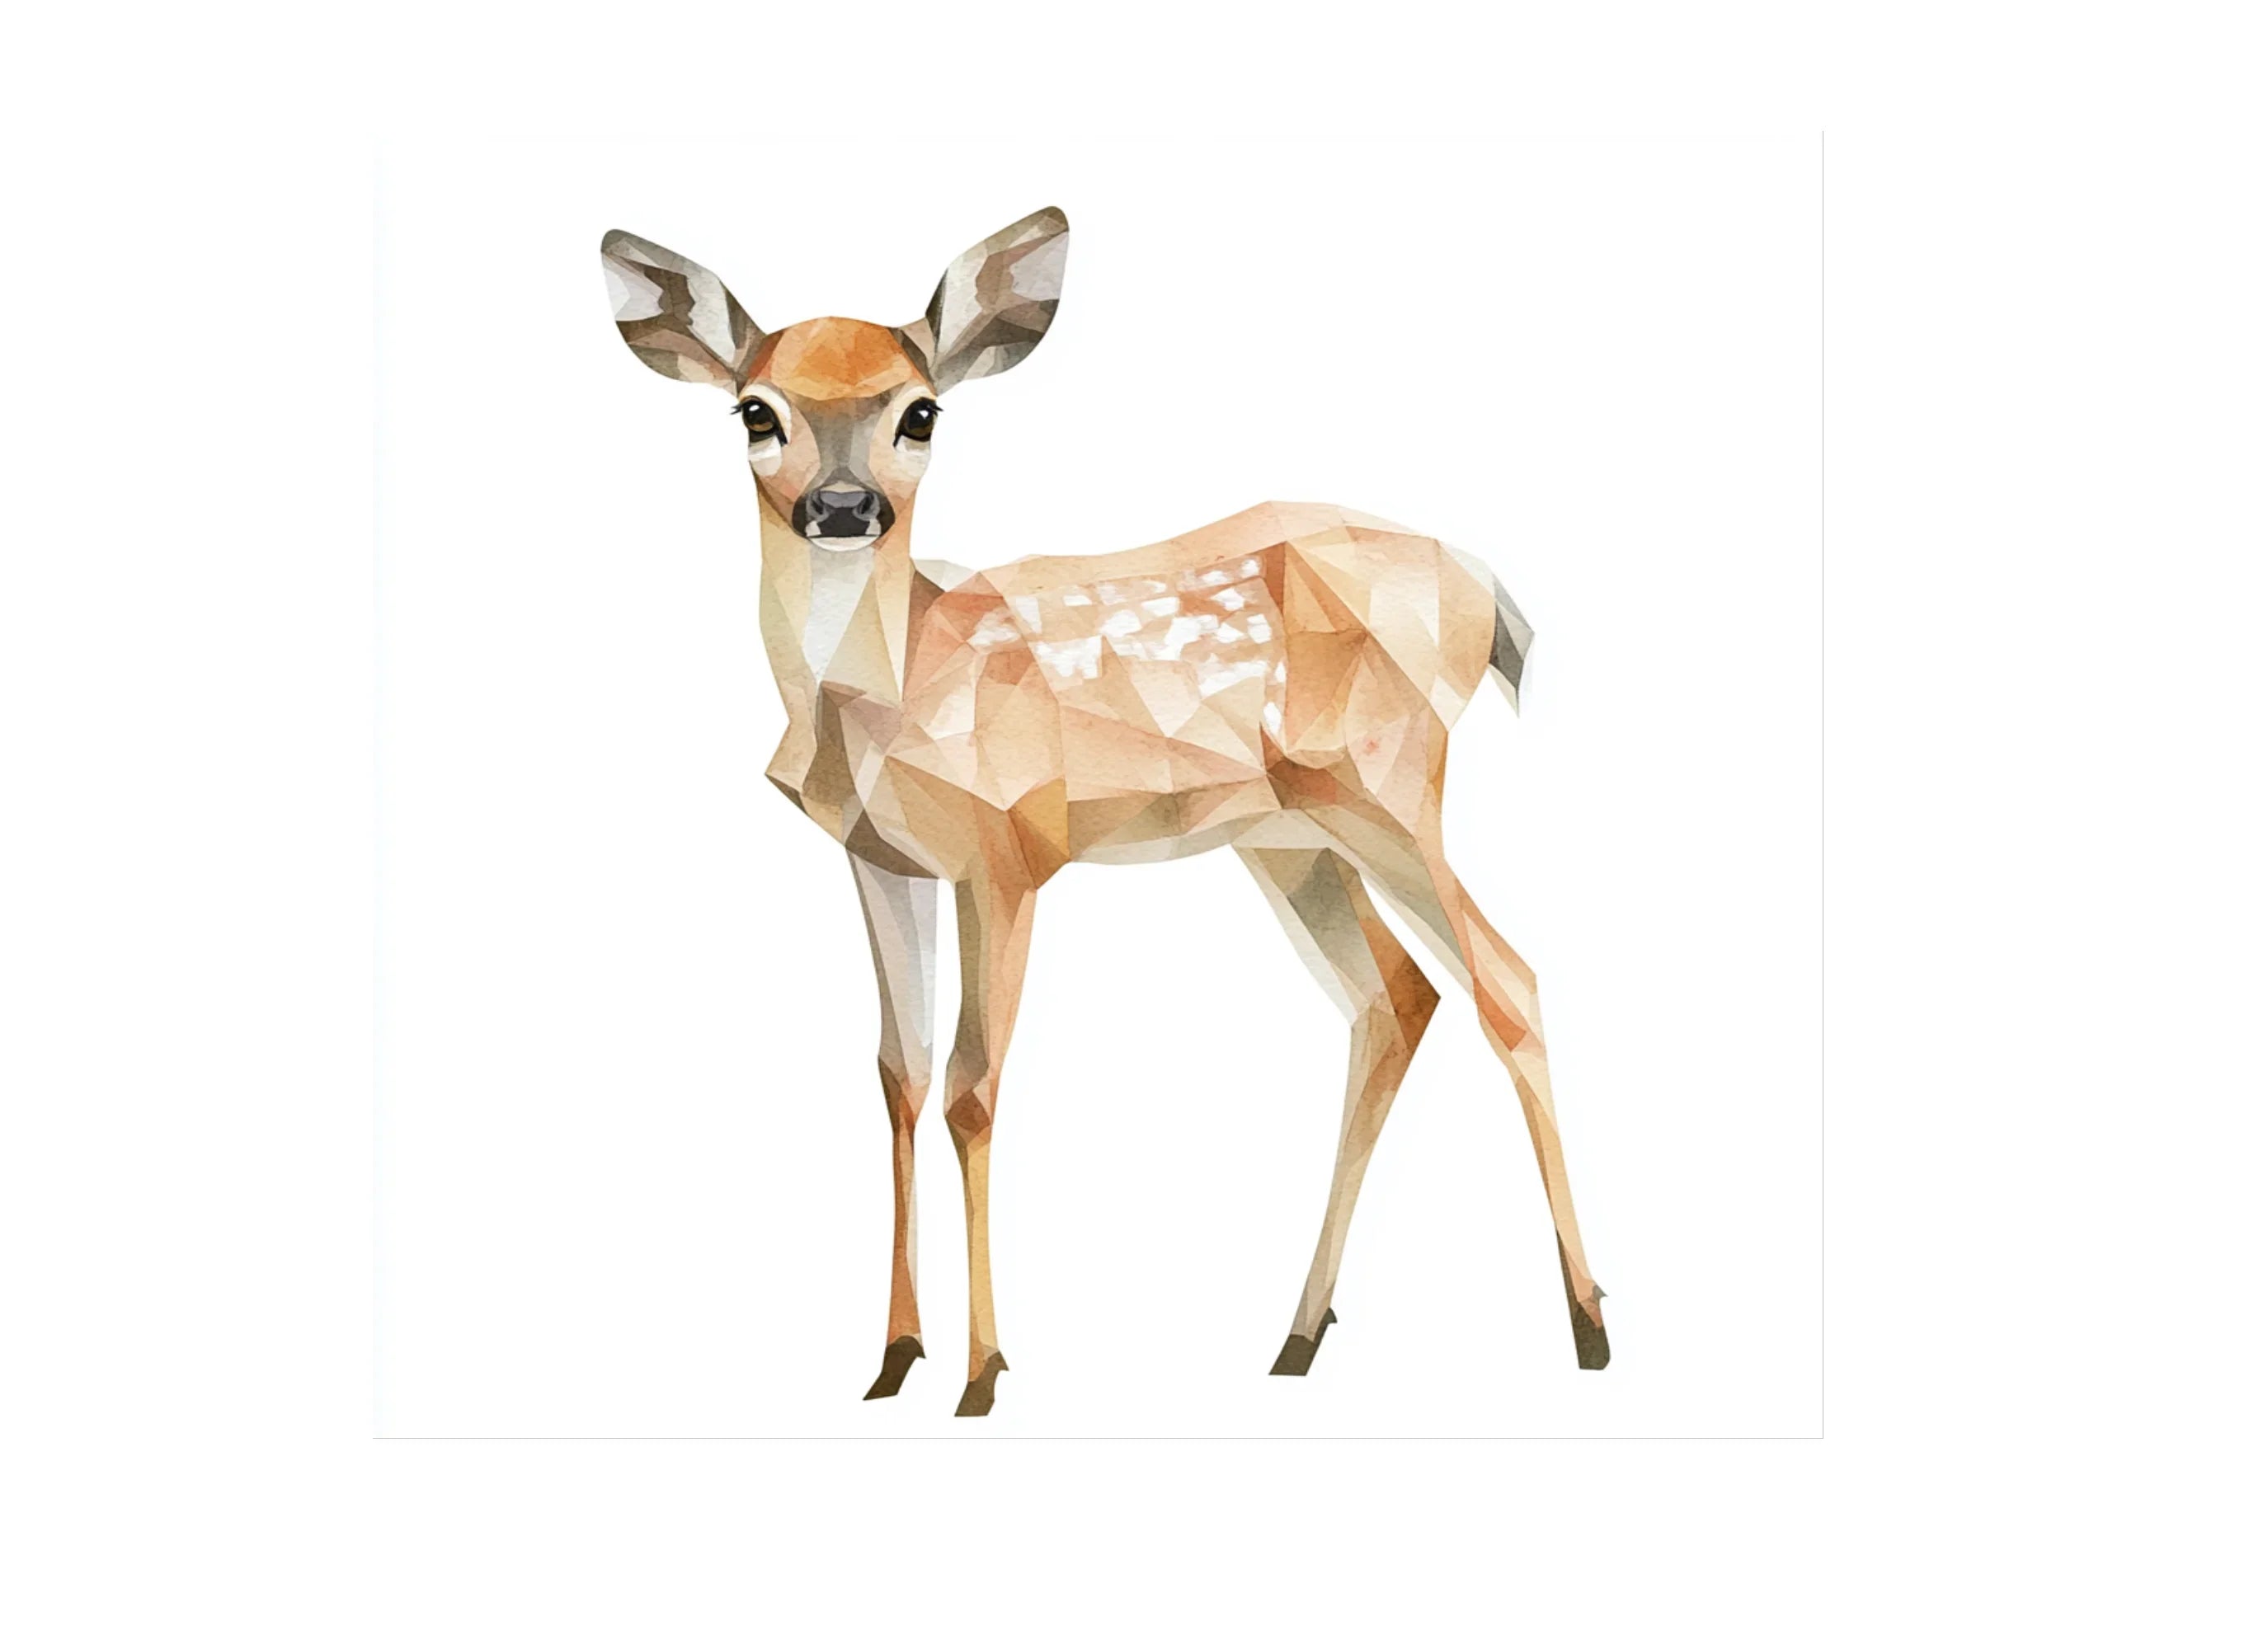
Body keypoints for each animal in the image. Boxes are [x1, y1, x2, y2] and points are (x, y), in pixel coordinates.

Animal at [598, 208, 1610, 1416]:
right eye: (756, 409)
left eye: (920, 410)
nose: (842, 509)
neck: (889, 690)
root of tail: (1486, 591)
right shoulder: (880, 857)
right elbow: (897, 1075)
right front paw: (891, 1360)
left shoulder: (1010, 846)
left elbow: (972, 1088)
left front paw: (982, 1374)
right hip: (1286, 836)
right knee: (1394, 1000)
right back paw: (1296, 1334)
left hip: (1391, 783)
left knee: (1507, 979)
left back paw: (1588, 1326)